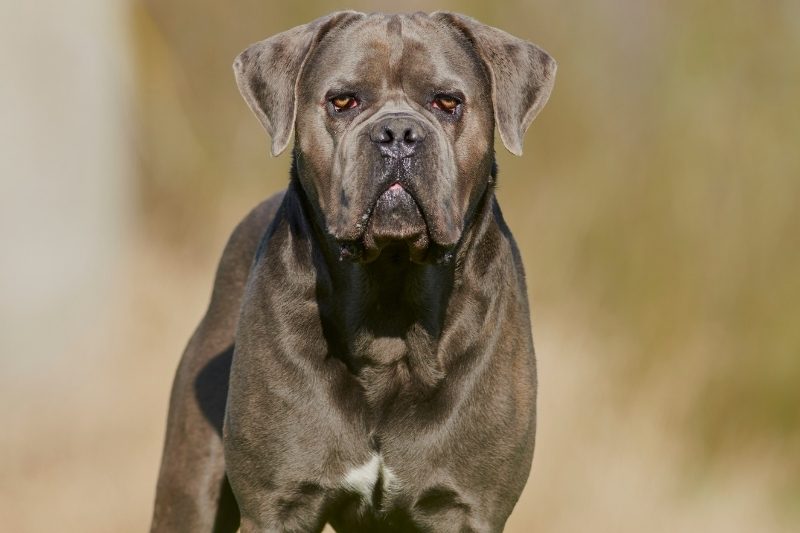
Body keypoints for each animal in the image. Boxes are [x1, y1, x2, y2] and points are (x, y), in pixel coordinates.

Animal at [150, 12, 552, 532]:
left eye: (447, 102)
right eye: (342, 101)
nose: (398, 134)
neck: (390, 306)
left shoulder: (467, 507)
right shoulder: (278, 504)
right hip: (189, 488)